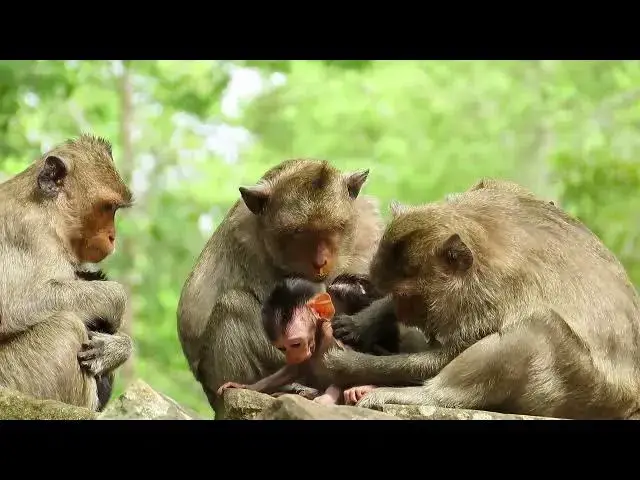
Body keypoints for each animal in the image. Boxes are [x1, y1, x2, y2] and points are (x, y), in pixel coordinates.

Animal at [0, 134, 134, 411]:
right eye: (108, 208)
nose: (112, 237)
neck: (47, 211)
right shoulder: (29, 231)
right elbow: (11, 307)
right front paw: (116, 300)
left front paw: (117, 348)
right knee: (65, 327)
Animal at [217, 277, 377, 406]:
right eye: (282, 348)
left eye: (296, 344)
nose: (292, 357)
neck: (320, 340)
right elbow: (293, 370)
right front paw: (245, 386)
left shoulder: (334, 340)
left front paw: (329, 397)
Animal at [326, 178, 640, 419]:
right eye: (399, 295)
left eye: (410, 297)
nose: (404, 314)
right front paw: (363, 322)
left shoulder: (489, 298)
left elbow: (442, 357)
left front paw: (351, 364)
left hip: (582, 395)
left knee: (536, 328)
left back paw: (421, 395)